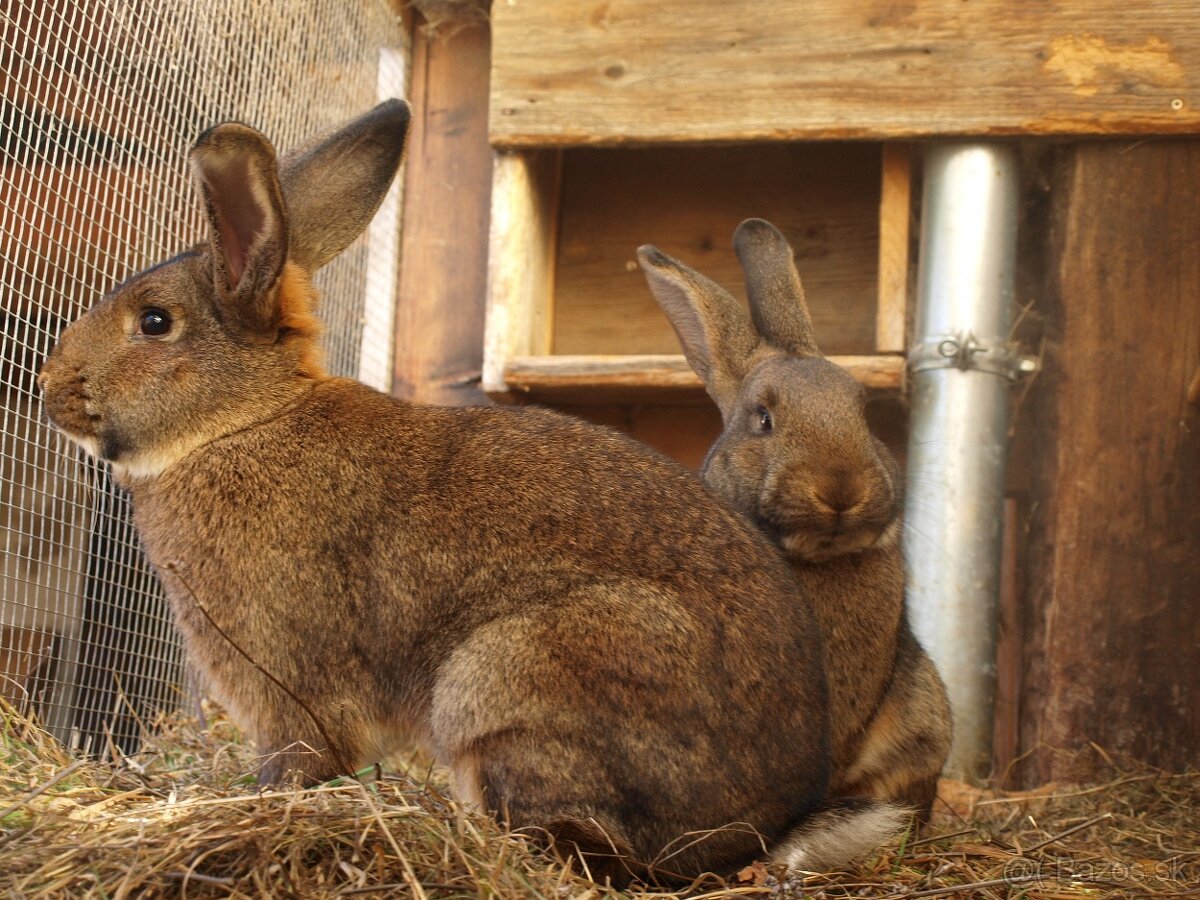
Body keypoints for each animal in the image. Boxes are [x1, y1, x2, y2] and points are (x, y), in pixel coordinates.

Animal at [37, 103, 902, 883]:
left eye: (154, 322)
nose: (49, 389)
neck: (243, 419)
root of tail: (756, 830)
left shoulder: (288, 683)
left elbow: (298, 760)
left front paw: (255, 805)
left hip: (513, 677)